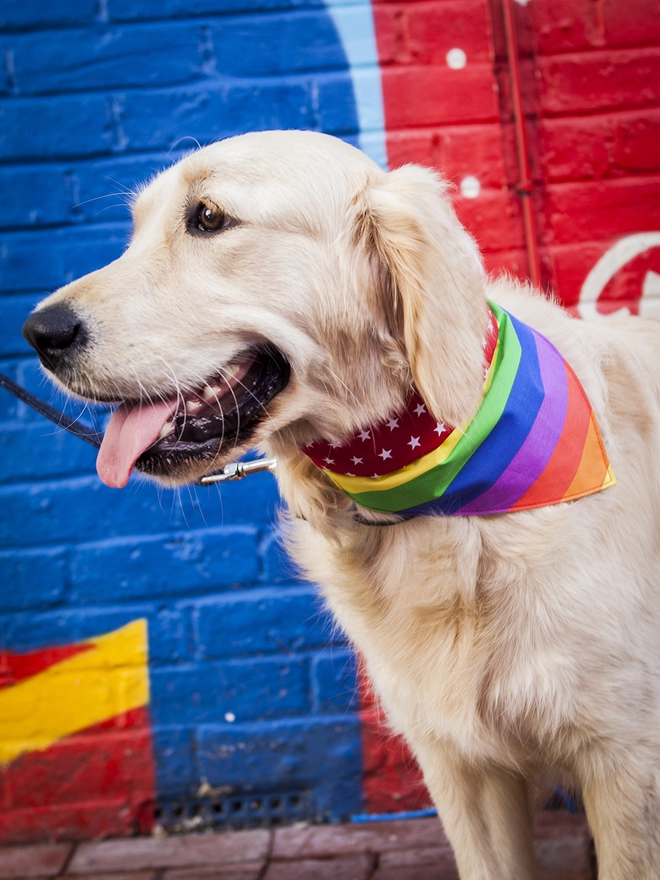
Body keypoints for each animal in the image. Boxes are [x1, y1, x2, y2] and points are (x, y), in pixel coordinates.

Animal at [20, 132, 660, 880]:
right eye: (136, 230)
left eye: (207, 217)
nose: (38, 333)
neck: (431, 500)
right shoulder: (462, 766)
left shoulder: (626, 758)